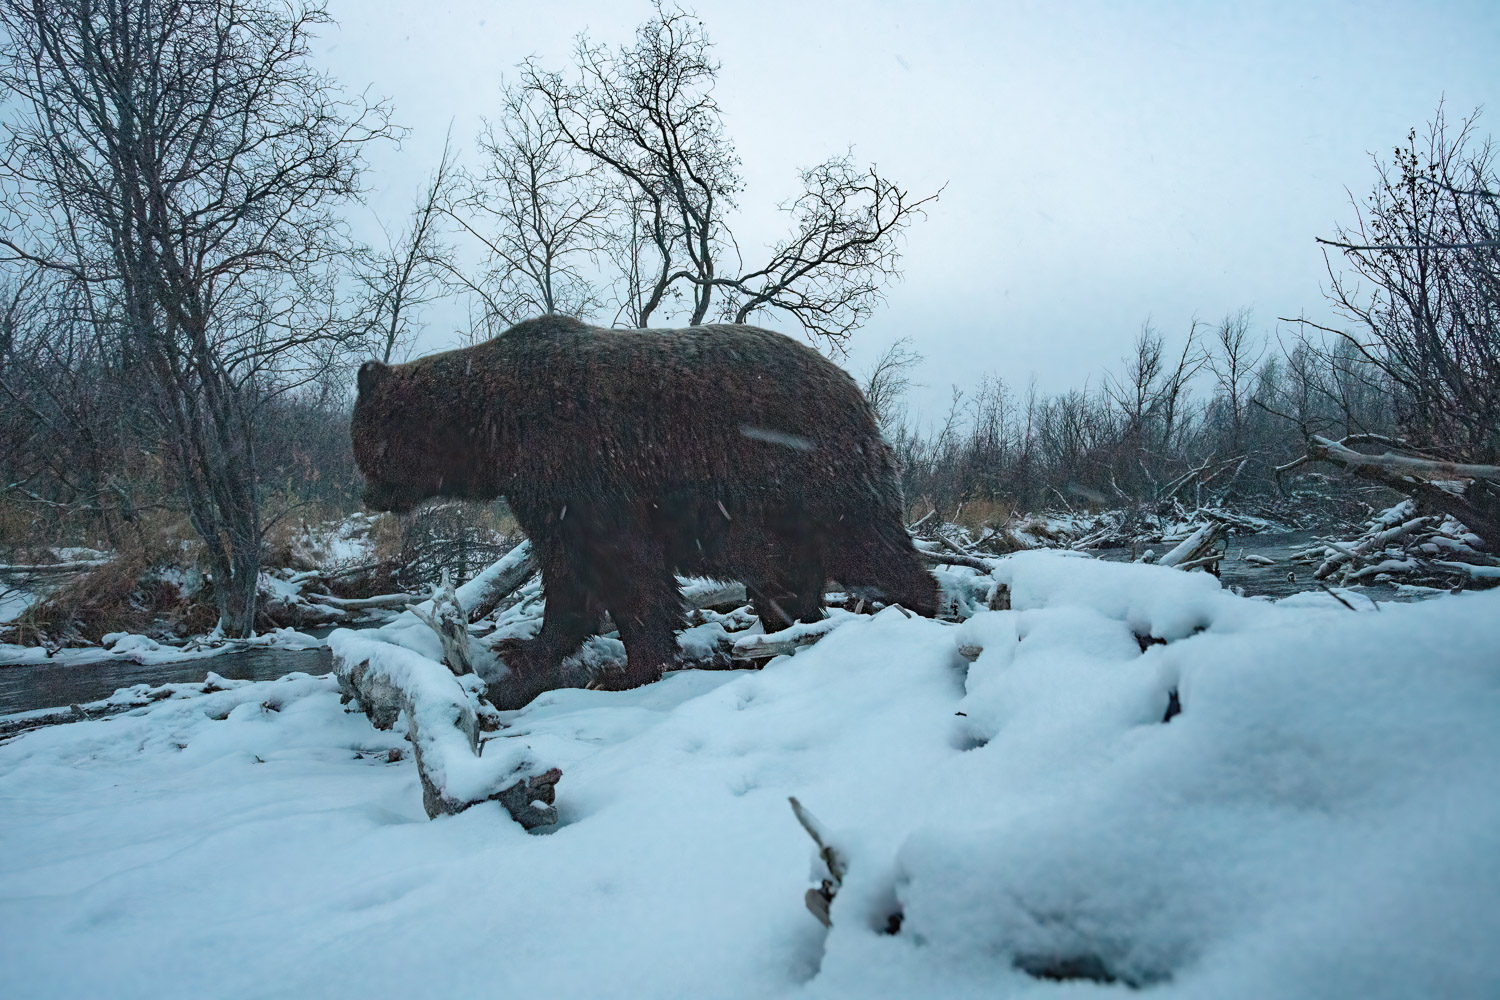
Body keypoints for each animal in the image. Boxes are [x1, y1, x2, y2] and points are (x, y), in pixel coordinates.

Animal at [352, 319, 936, 704]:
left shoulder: (581, 470)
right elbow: (577, 574)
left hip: (812, 478)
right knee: (789, 584)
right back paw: (785, 636)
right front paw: (531, 651)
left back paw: (917, 612)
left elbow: (619, 571)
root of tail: (856, 391)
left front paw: (623, 669)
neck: (491, 429)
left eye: (363, 445)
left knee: (873, 548)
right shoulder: (549, 493)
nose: (367, 495)